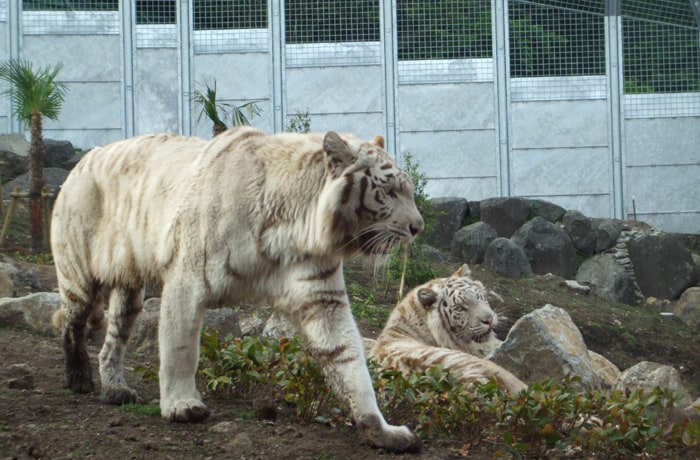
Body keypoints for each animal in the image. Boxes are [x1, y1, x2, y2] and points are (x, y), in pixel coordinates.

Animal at [50, 127, 422, 452]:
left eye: (408, 191)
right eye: (389, 191)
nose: (418, 227)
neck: (296, 227)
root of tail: (85, 159)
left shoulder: (323, 298)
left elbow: (350, 362)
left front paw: (381, 429)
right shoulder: (186, 281)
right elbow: (180, 350)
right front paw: (182, 406)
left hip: (129, 291)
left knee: (112, 342)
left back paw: (115, 389)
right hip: (78, 271)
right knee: (72, 321)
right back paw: (78, 379)